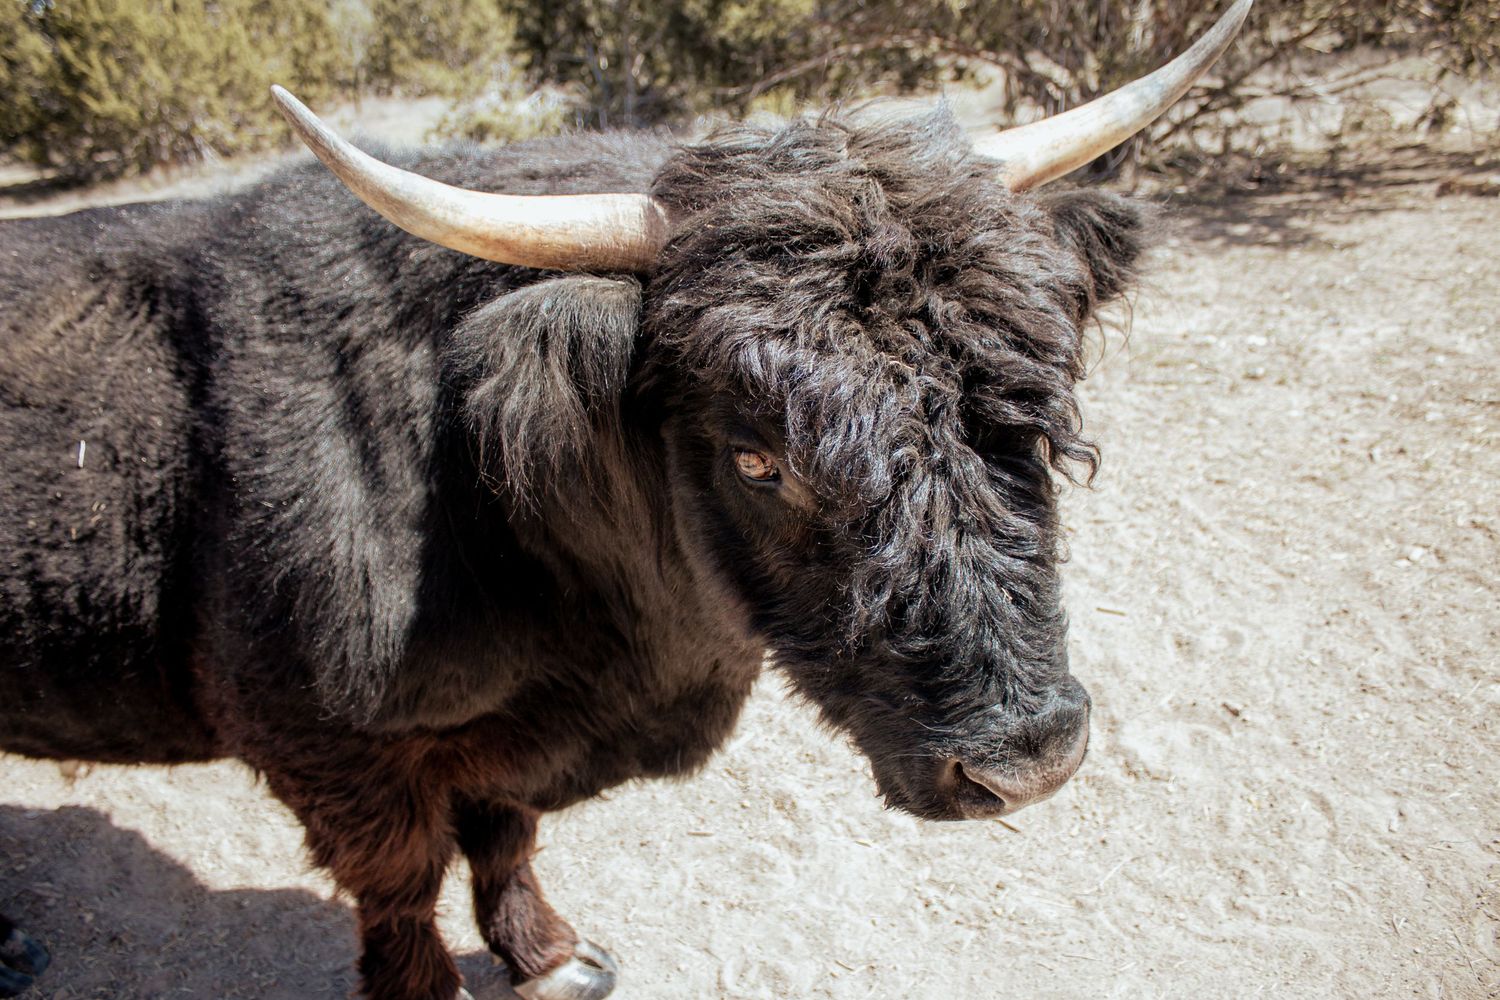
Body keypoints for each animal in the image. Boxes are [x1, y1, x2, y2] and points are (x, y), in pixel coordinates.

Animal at [0, 3, 1251, 998]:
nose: (1029, 758)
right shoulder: (335, 760)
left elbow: (505, 831)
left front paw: (551, 958)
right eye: (759, 459)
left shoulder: (500, 748)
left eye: (1031, 408)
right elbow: (404, 899)